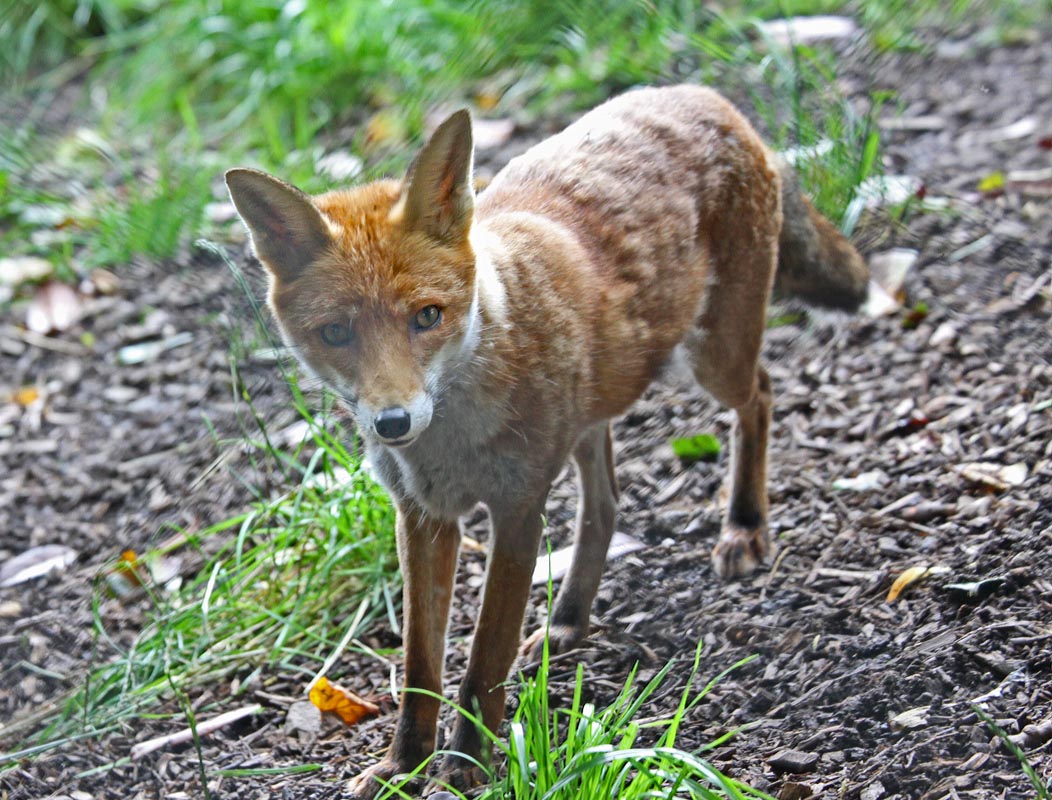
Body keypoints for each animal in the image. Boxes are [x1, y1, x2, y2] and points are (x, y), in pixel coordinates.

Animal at [225, 84, 868, 798]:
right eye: (336, 333)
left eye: (427, 316)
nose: (393, 424)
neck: (449, 445)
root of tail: (699, 94)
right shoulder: (422, 517)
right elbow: (422, 669)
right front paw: (404, 768)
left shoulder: (517, 512)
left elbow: (482, 664)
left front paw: (464, 769)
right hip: (590, 414)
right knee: (607, 505)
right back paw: (569, 619)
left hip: (714, 359)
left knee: (761, 393)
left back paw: (745, 526)